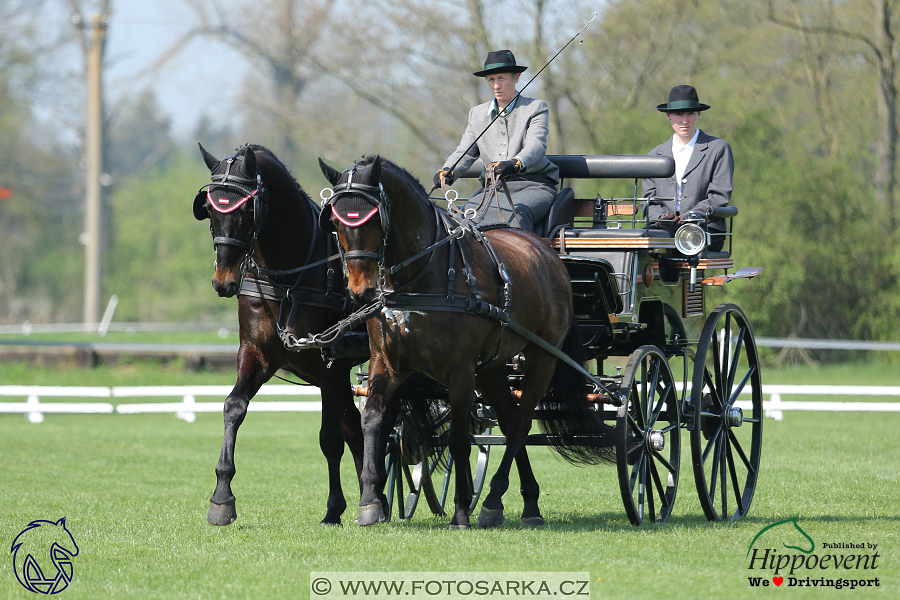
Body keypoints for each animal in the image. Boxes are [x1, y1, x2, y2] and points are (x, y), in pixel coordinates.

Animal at [193, 144, 366, 524]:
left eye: (248, 209)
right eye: (210, 208)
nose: (223, 281)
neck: (290, 275)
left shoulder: (330, 365)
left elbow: (330, 438)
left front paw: (334, 509)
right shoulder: (257, 354)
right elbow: (234, 407)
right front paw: (221, 498)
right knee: (358, 425)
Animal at [316, 156, 620, 528]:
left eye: (374, 217)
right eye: (334, 220)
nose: (360, 291)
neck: (422, 276)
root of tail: (547, 253)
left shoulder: (459, 372)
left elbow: (459, 440)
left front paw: (461, 509)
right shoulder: (386, 362)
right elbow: (373, 421)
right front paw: (371, 501)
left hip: (541, 358)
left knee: (520, 424)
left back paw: (491, 499)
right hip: (491, 368)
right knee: (509, 419)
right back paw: (526, 503)